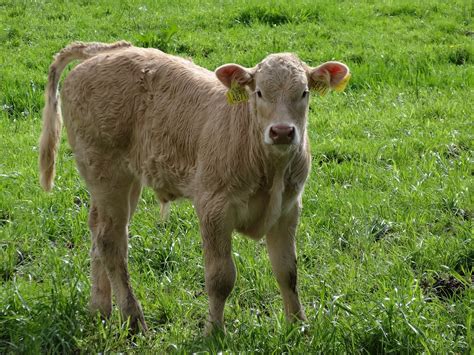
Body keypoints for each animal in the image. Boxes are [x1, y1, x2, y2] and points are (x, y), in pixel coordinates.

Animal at [39, 41, 350, 334]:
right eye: (259, 92)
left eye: (304, 93)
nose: (282, 132)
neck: (267, 168)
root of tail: (102, 51)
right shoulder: (213, 207)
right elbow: (220, 277)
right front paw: (214, 332)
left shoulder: (288, 208)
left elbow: (287, 271)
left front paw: (298, 325)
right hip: (106, 172)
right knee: (110, 242)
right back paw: (133, 319)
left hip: (120, 181)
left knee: (97, 232)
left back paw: (100, 309)